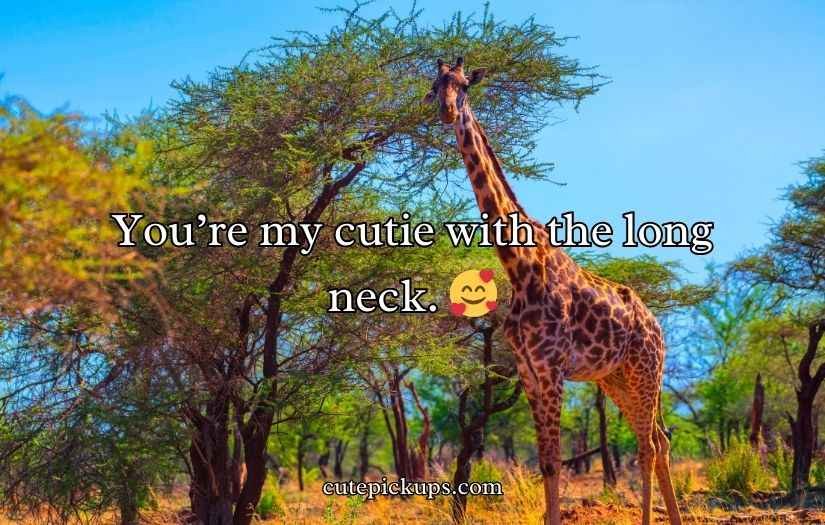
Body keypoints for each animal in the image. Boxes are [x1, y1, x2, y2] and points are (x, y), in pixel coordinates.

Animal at [425, 57, 682, 525]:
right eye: (435, 87)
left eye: (465, 85)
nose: (448, 112)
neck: (519, 267)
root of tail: (657, 327)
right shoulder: (528, 369)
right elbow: (545, 462)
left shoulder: (551, 368)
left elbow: (557, 461)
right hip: (615, 378)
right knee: (658, 440)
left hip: (645, 370)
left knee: (650, 444)